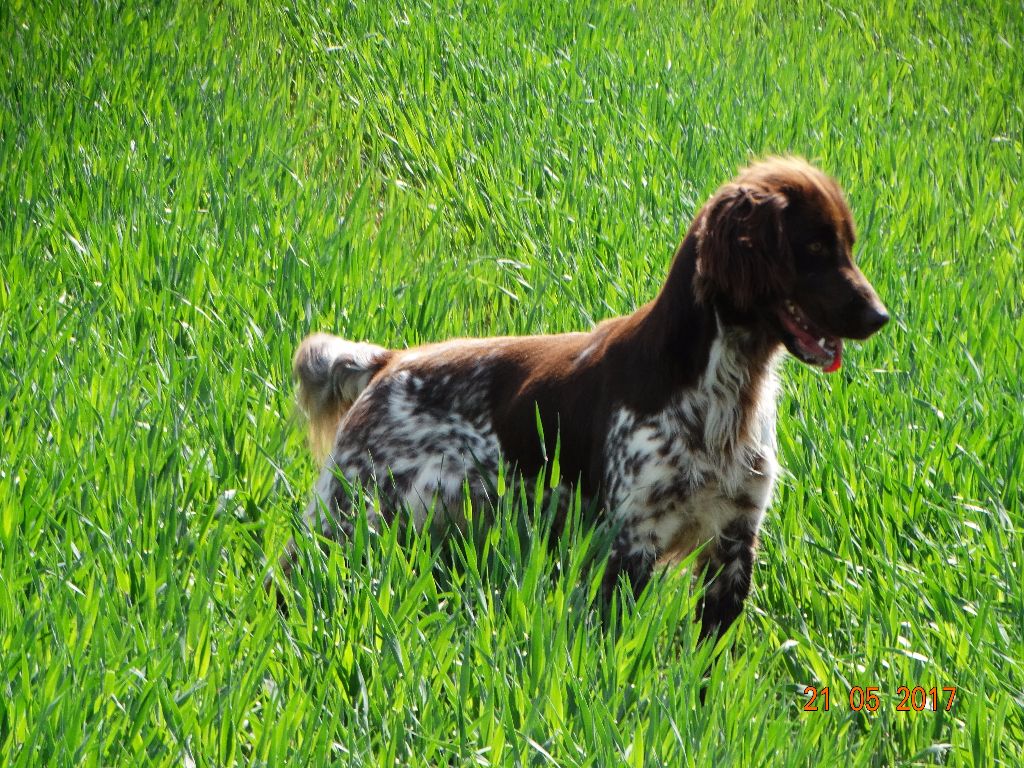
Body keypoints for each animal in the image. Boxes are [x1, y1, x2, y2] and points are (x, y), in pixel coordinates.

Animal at [272, 157, 888, 643]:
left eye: (849, 246)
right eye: (814, 247)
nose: (880, 316)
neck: (722, 390)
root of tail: (388, 362)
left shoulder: (735, 538)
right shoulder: (632, 540)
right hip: (348, 513)